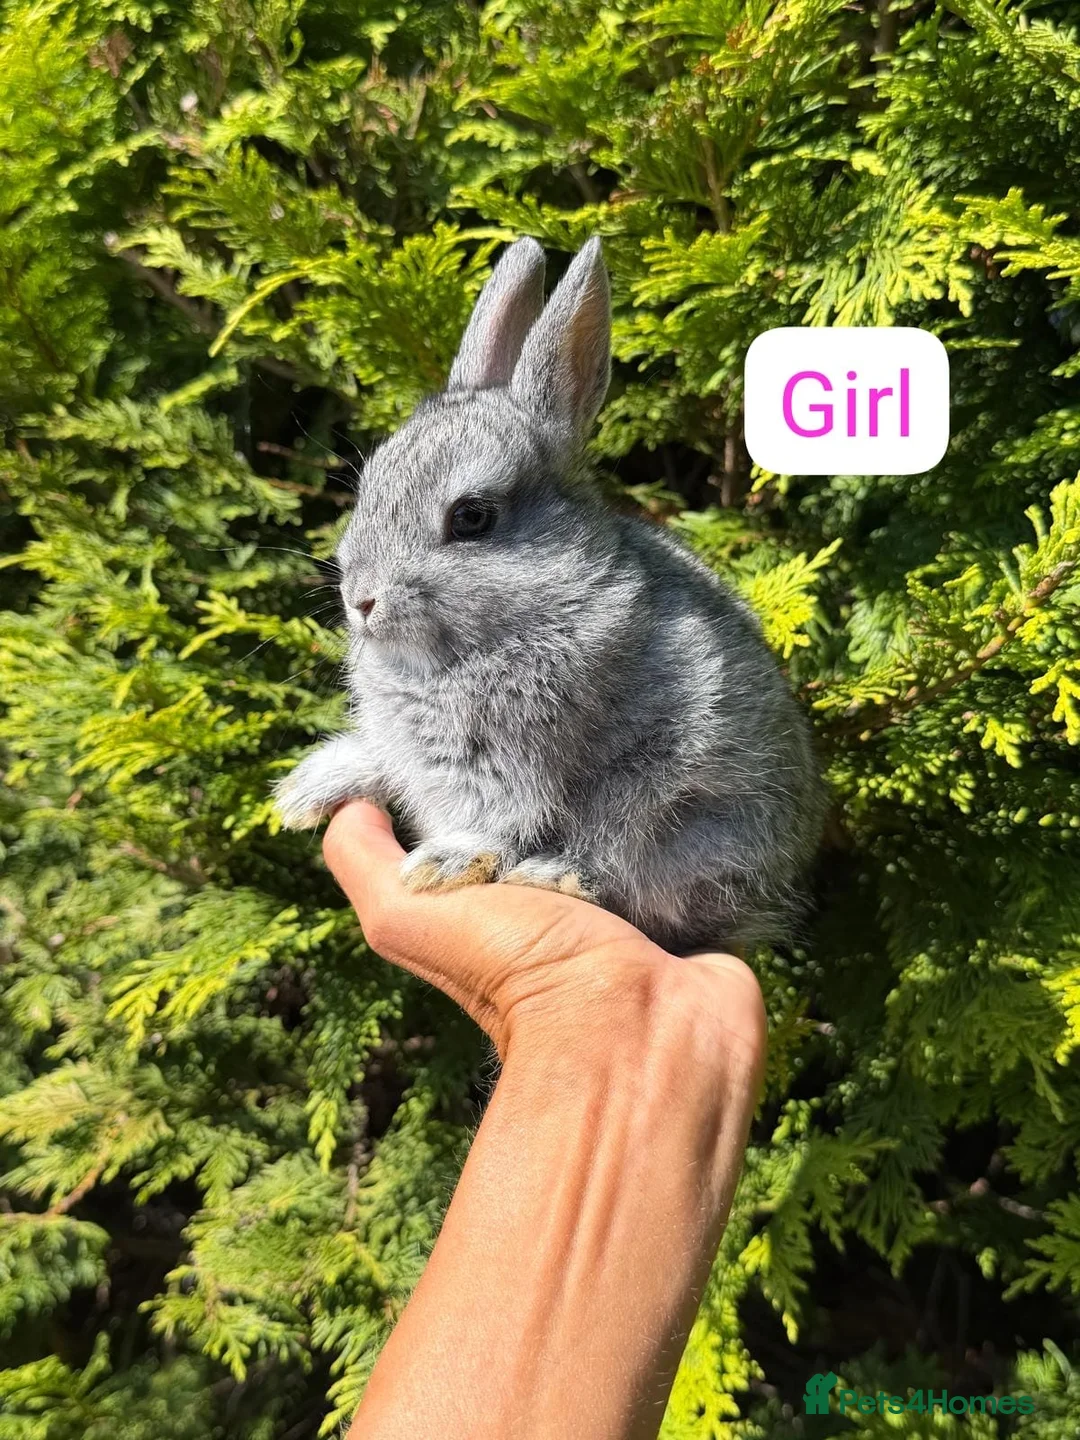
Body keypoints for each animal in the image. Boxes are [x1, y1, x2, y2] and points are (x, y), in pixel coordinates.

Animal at [274, 236, 827, 953]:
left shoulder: (510, 766)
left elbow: (502, 820)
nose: (360, 601)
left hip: (689, 824)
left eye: (471, 518)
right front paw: (307, 789)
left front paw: (445, 863)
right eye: (367, 489)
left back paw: (555, 876)